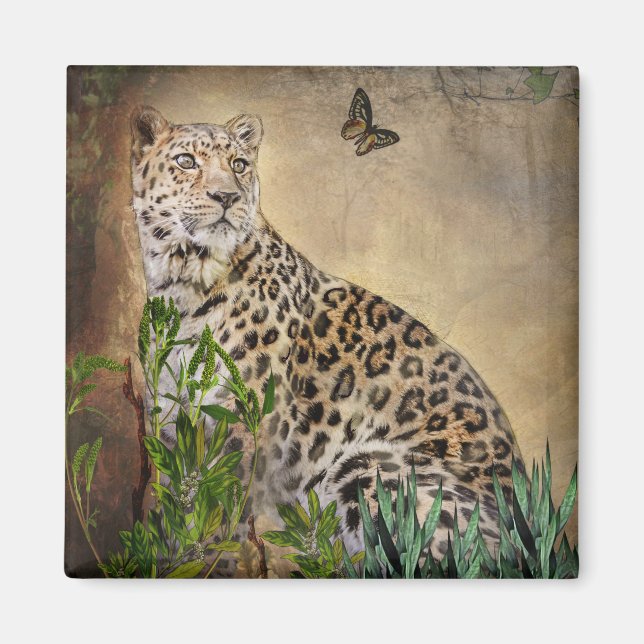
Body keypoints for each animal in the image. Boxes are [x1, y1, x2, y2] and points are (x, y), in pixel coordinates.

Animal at [129, 105, 524, 565]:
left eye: (239, 165)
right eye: (186, 161)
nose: (227, 197)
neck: (182, 284)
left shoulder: (243, 422)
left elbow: (224, 508)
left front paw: (211, 558)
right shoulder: (173, 425)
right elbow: (182, 500)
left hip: (368, 467)